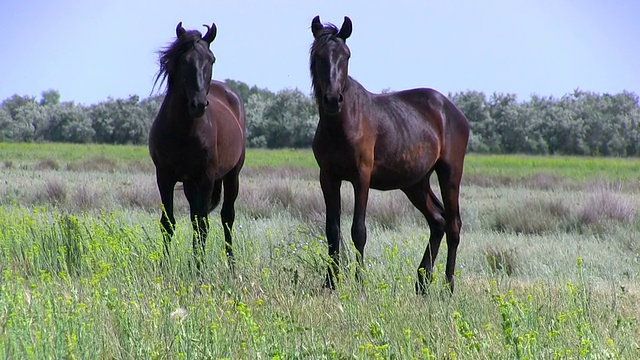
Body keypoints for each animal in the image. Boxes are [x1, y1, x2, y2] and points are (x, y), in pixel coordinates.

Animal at [150, 21, 248, 270]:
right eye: (184, 60)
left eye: (211, 59)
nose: (199, 105)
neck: (183, 131)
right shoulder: (164, 176)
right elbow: (168, 222)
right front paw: (164, 265)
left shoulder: (206, 177)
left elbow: (203, 225)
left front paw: (198, 268)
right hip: (189, 184)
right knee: (196, 217)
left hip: (231, 176)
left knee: (226, 217)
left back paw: (231, 263)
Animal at [310, 15, 470, 294]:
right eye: (319, 56)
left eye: (346, 56)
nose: (332, 99)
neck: (342, 123)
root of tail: (453, 111)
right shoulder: (328, 177)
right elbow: (332, 230)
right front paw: (330, 282)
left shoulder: (361, 177)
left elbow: (358, 230)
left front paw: (360, 283)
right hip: (415, 183)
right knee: (437, 221)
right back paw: (422, 283)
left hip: (450, 173)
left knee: (453, 225)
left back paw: (448, 287)